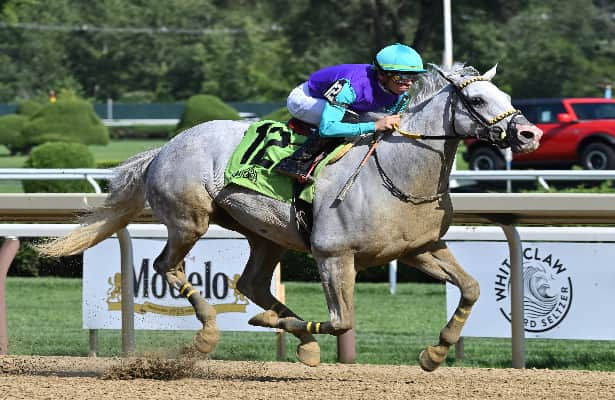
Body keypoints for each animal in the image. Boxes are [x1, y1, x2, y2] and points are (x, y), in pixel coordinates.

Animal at [38, 63, 540, 372]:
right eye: (478, 99)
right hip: (189, 220)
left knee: (251, 283)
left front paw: (435, 353)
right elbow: (342, 321)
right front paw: (274, 327)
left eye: (505, 94)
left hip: (265, 234)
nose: (529, 133)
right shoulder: (333, 254)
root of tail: (164, 147)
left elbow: (471, 288)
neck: (397, 173)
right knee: (168, 267)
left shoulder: (419, 248)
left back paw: (298, 339)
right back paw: (211, 335)